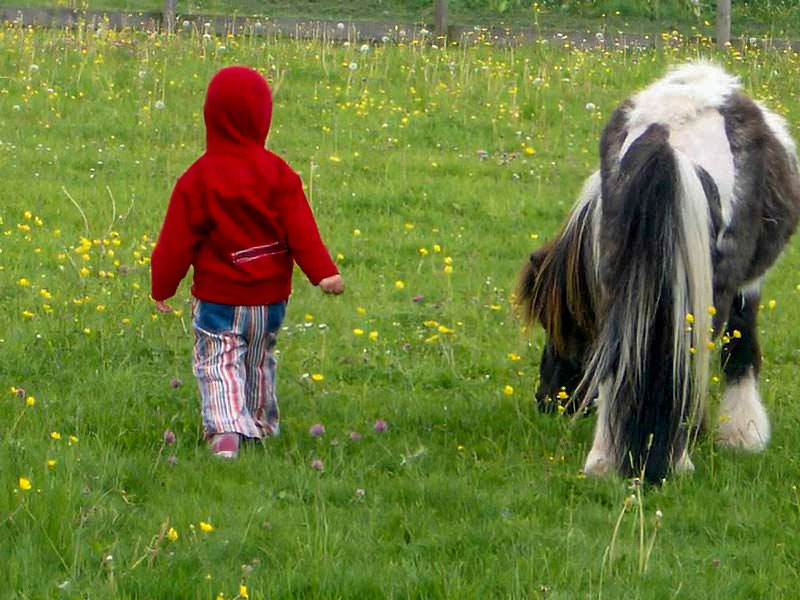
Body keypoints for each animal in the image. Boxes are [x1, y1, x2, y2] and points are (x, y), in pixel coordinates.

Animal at [516, 61, 800, 483]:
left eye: (561, 323)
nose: (549, 401)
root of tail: (665, 134)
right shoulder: (747, 285)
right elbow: (741, 347)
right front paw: (742, 433)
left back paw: (604, 459)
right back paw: (678, 456)